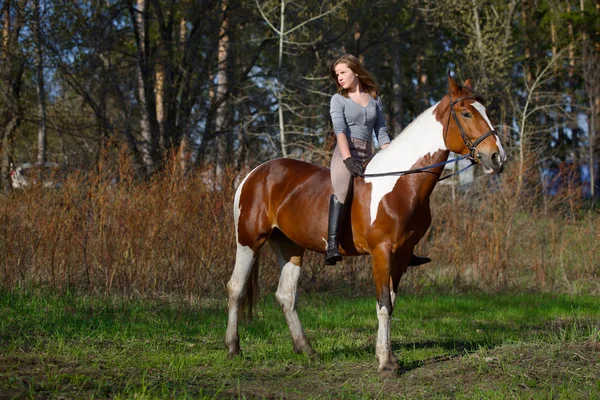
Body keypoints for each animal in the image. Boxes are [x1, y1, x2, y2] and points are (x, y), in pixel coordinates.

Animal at [225, 72, 506, 376]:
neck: (401, 183)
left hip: (290, 247)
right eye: (466, 113)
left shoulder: (402, 254)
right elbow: (383, 304)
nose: (497, 158)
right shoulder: (381, 252)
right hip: (248, 241)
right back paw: (233, 348)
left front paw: (389, 357)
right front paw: (385, 363)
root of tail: (254, 174)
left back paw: (307, 350)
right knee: (236, 288)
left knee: (286, 295)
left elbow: (391, 303)